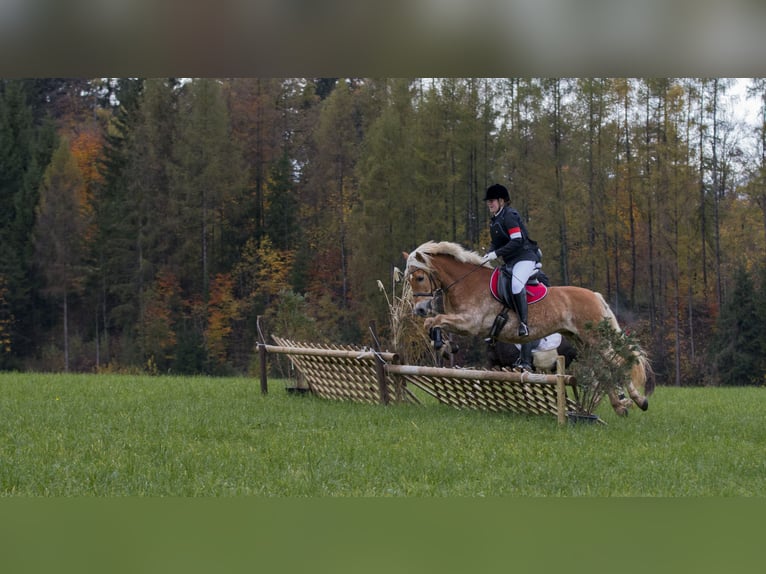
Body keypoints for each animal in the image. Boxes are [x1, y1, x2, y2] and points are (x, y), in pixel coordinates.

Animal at [404, 241, 652, 416]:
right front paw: (441, 344)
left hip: (593, 338)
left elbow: (434, 321)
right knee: (605, 366)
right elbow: (434, 323)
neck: (466, 283)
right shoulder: (463, 324)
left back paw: (639, 400)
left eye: (419, 277)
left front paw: (439, 343)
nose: (420, 309)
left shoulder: (471, 323)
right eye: (408, 280)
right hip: (581, 340)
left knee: (617, 362)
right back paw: (620, 406)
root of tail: (595, 295)